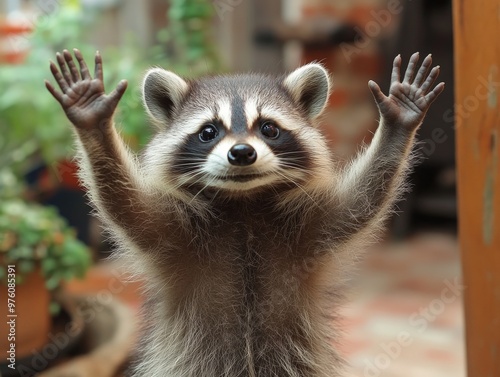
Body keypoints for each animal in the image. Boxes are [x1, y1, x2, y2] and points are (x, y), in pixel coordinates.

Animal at [46, 50, 446, 376]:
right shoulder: (177, 234)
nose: (241, 152)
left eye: (268, 128)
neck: (244, 204)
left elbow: (360, 202)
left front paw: (397, 127)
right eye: (209, 131)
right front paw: (93, 126)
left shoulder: (307, 229)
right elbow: (128, 207)